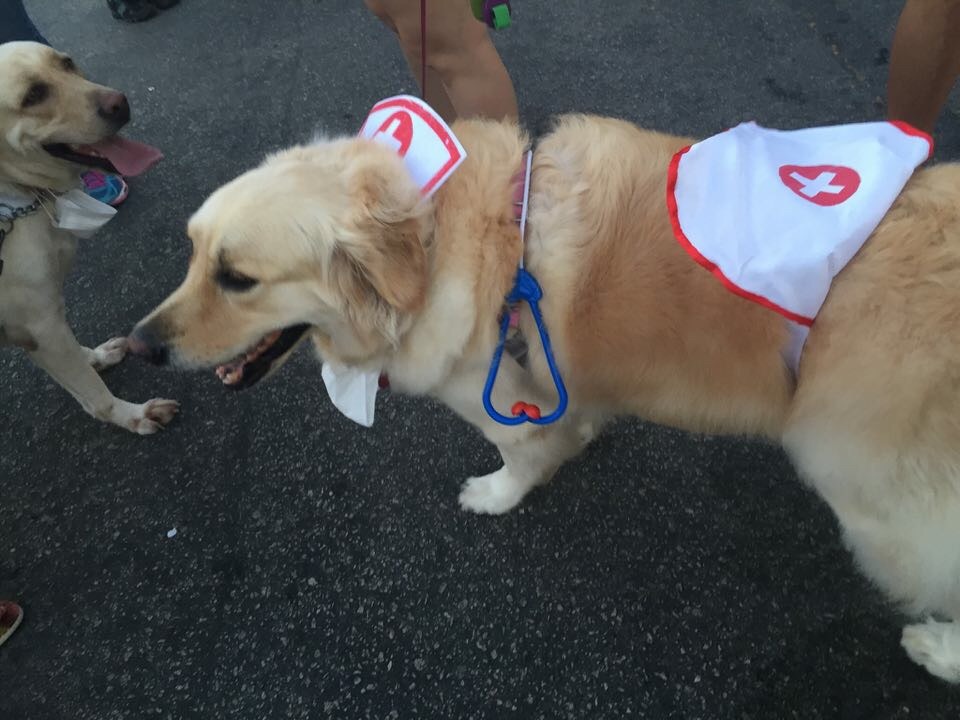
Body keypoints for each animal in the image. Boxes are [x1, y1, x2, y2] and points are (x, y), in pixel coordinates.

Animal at [0, 42, 176, 436]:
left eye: (67, 63)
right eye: (33, 95)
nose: (119, 103)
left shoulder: (40, 324)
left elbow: (78, 364)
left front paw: (96, 356)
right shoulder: (41, 325)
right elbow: (93, 394)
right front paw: (131, 415)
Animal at [129, 116, 960, 680]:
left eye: (238, 278)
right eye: (193, 254)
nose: (140, 347)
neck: (443, 243)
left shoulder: (498, 399)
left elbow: (520, 457)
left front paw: (496, 495)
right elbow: (575, 414)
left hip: (877, 503)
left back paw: (936, 648)